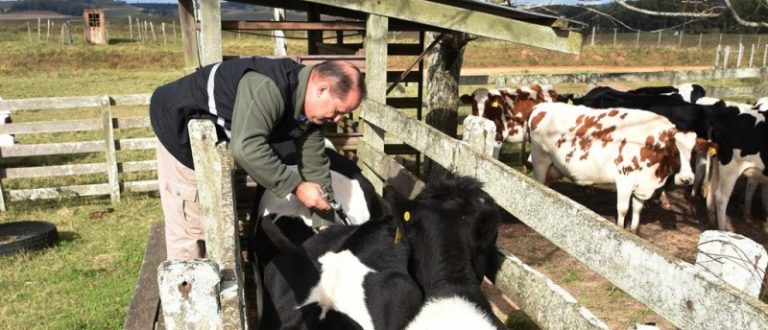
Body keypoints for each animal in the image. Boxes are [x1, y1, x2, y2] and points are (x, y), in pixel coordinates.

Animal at [528, 103, 708, 232]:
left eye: (694, 153)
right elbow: (623, 209)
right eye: (674, 151)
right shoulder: (624, 179)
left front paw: (634, 232)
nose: (686, 179)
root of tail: (540, 107)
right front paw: (621, 229)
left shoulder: (643, 185)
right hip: (540, 161)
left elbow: (637, 210)